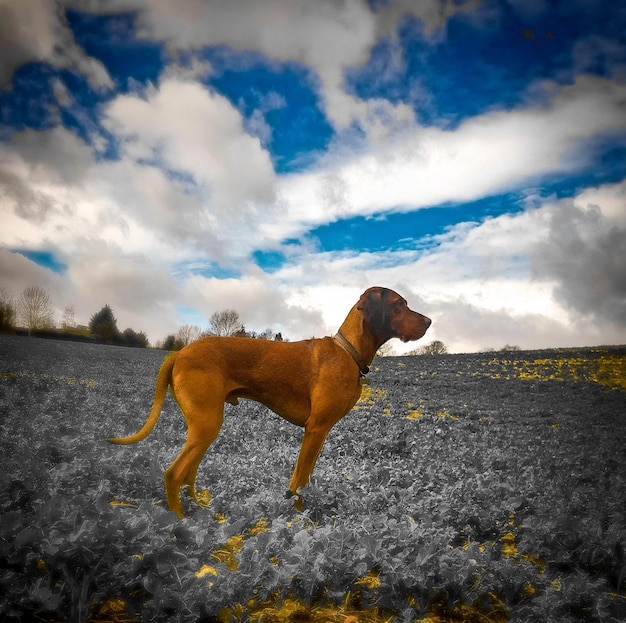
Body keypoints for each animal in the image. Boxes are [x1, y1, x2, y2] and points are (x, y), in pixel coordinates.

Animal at [108, 288, 428, 516]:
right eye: (400, 304)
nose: (429, 321)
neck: (347, 351)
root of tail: (178, 354)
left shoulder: (319, 433)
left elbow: (304, 478)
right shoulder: (316, 428)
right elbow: (299, 480)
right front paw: (298, 514)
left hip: (203, 427)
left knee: (189, 473)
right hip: (207, 424)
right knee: (174, 474)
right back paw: (181, 521)